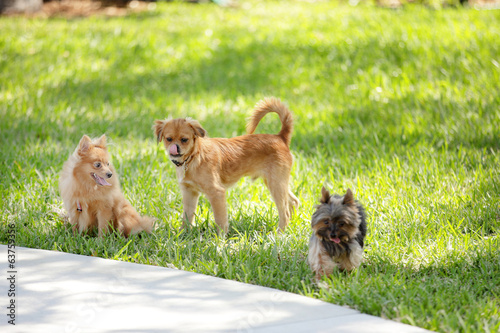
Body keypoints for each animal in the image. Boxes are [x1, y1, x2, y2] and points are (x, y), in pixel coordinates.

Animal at [154, 96, 298, 233]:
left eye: (184, 140)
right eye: (168, 139)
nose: (175, 148)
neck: (193, 158)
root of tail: (280, 137)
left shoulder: (217, 193)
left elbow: (220, 220)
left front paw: (220, 240)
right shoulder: (189, 193)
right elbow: (187, 217)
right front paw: (182, 234)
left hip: (276, 184)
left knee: (284, 212)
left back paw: (279, 234)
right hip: (275, 183)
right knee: (293, 201)